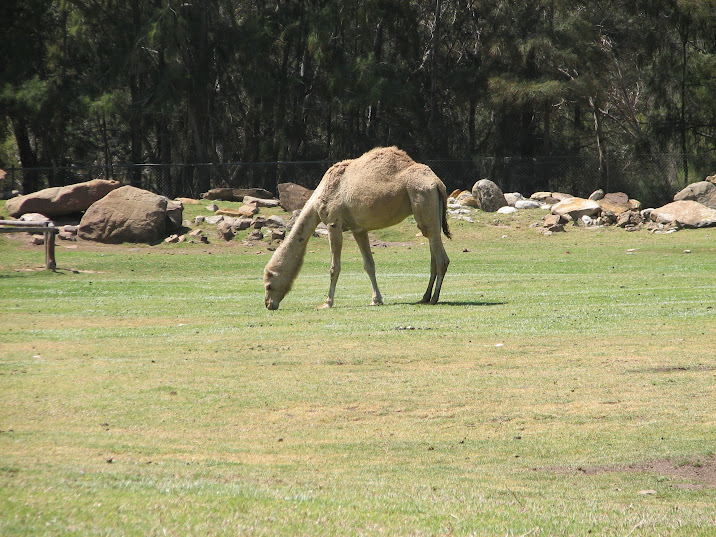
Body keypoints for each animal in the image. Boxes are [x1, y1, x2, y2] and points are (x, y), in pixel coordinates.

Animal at [263, 147, 451, 310]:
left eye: (268, 285)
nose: (268, 304)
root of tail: (438, 183)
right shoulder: (359, 229)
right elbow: (369, 265)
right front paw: (376, 300)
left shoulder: (334, 223)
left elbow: (334, 267)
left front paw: (327, 303)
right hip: (431, 211)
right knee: (433, 254)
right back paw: (424, 297)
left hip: (423, 200)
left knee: (441, 258)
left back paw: (434, 298)